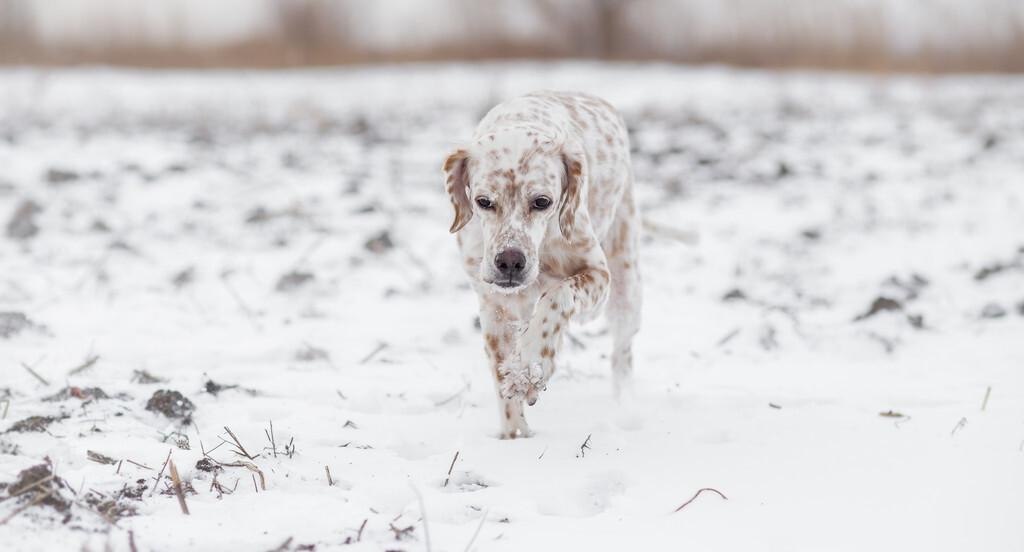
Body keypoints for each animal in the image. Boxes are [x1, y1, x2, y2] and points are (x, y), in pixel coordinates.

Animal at [440, 90, 638, 438]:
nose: (509, 262)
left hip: (625, 284)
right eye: (483, 202)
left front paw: (531, 367)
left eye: (542, 202)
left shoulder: (598, 273)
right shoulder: (493, 305)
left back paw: (624, 408)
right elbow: (502, 378)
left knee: (621, 354)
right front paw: (515, 435)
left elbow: (557, 298)